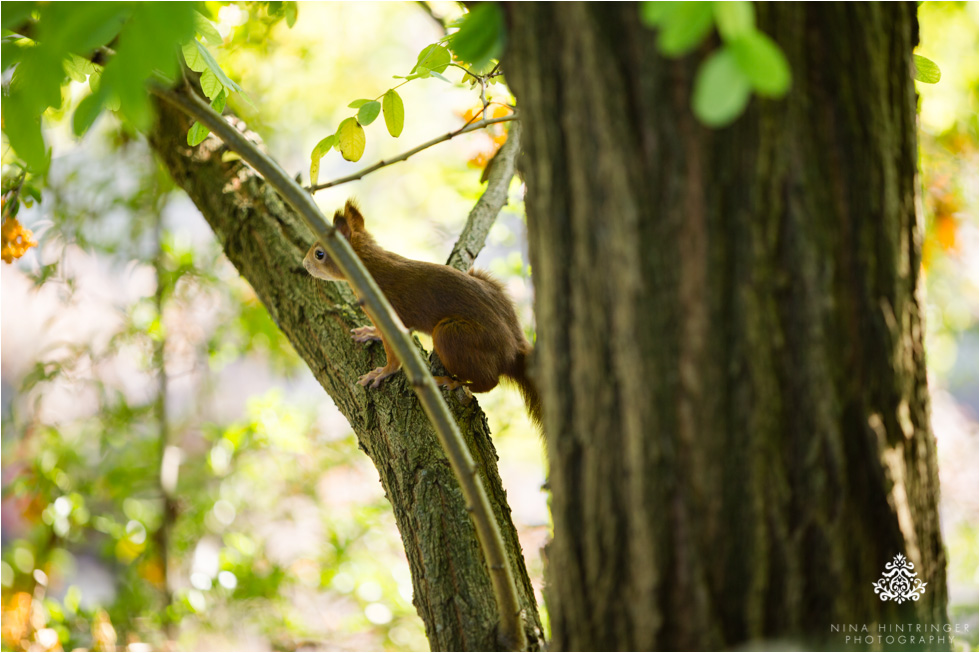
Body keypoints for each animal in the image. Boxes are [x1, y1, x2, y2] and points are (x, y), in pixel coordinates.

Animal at [302, 200, 540, 422]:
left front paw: (382, 372)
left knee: (489, 382)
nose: (304, 264)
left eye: (319, 254)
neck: (368, 268)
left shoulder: (391, 315)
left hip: (451, 334)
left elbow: (394, 358)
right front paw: (370, 332)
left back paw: (451, 382)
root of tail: (513, 351)